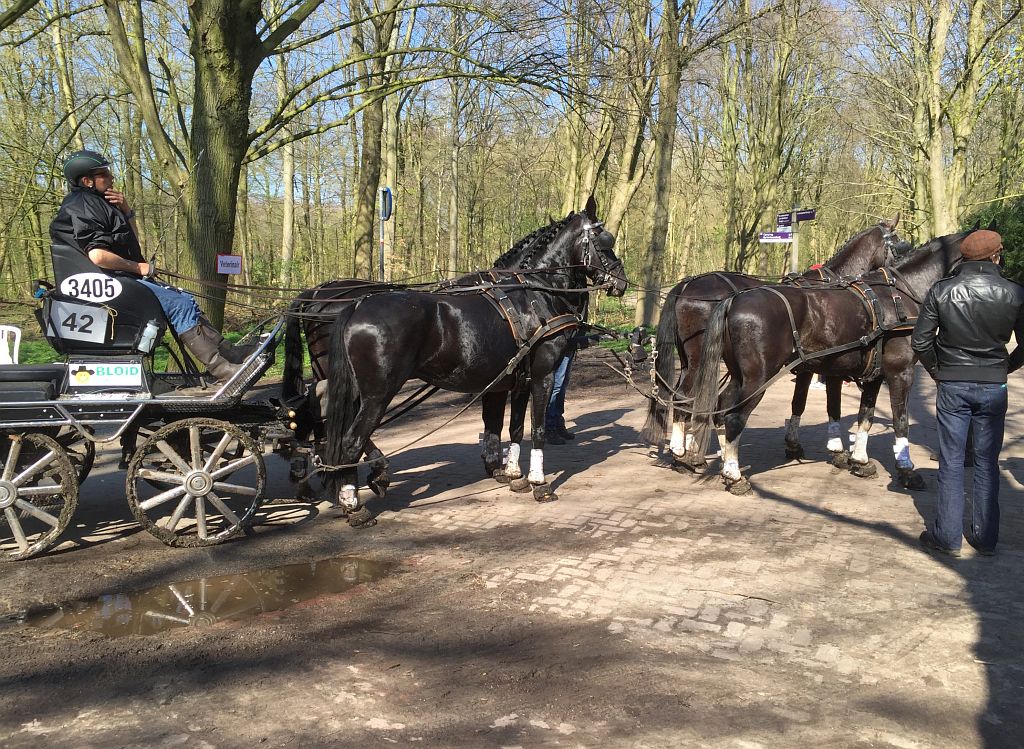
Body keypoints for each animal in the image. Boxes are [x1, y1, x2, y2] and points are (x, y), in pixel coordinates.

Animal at [321, 201, 622, 524]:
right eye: (605, 241)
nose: (621, 280)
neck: (536, 293)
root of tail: (358, 305)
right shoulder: (543, 375)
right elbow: (537, 429)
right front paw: (539, 483)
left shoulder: (518, 380)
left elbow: (514, 428)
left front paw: (514, 474)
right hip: (379, 394)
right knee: (351, 441)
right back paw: (355, 504)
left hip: (361, 394)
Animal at [643, 215, 901, 463]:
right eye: (899, 243)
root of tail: (687, 285)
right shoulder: (822, 364)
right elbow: (811, 402)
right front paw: (810, 446)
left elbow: (802, 401)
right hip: (700, 359)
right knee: (685, 396)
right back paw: (683, 450)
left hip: (690, 359)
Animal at [684, 231, 970, 495]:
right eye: (896, 241)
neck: (896, 297)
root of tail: (734, 299)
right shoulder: (900, 372)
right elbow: (900, 421)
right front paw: (906, 470)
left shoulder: (871, 374)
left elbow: (863, 415)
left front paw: (859, 459)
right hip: (758, 378)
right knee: (732, 416)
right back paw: (733, 476)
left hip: (738, 376)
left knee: (720, 410)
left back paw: (721, 461)